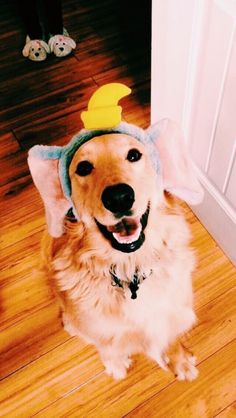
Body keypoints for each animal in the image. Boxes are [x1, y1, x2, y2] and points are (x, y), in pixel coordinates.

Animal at [28, 116, 204, 380]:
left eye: (133, 155)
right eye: (83, 168)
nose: (119, 197)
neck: (130, 268)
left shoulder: (171, 310)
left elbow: (171, 337)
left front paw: (180, 361)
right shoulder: (101, 329)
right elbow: (107, 345)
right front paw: (116, 363)